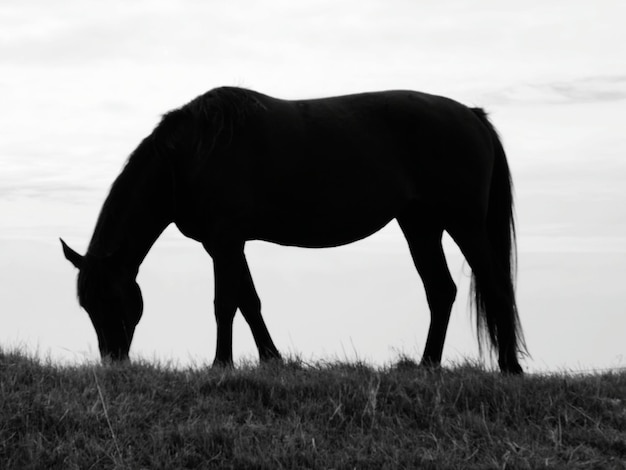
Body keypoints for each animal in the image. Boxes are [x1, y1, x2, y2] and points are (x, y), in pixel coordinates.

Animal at [61, 86, 524, 372]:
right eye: (87, 305)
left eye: (114, 299)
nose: (113, 360)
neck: (191, 155)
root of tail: (473, 116)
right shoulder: (226, 245)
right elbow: (249, 302)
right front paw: (271, 360)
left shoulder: (225, 241)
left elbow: (225, 303)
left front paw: (221, 365)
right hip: (421, 226)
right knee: (441, 290)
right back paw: (428, 365)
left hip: (464, 224)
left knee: (495, 285)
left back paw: (510, 368)